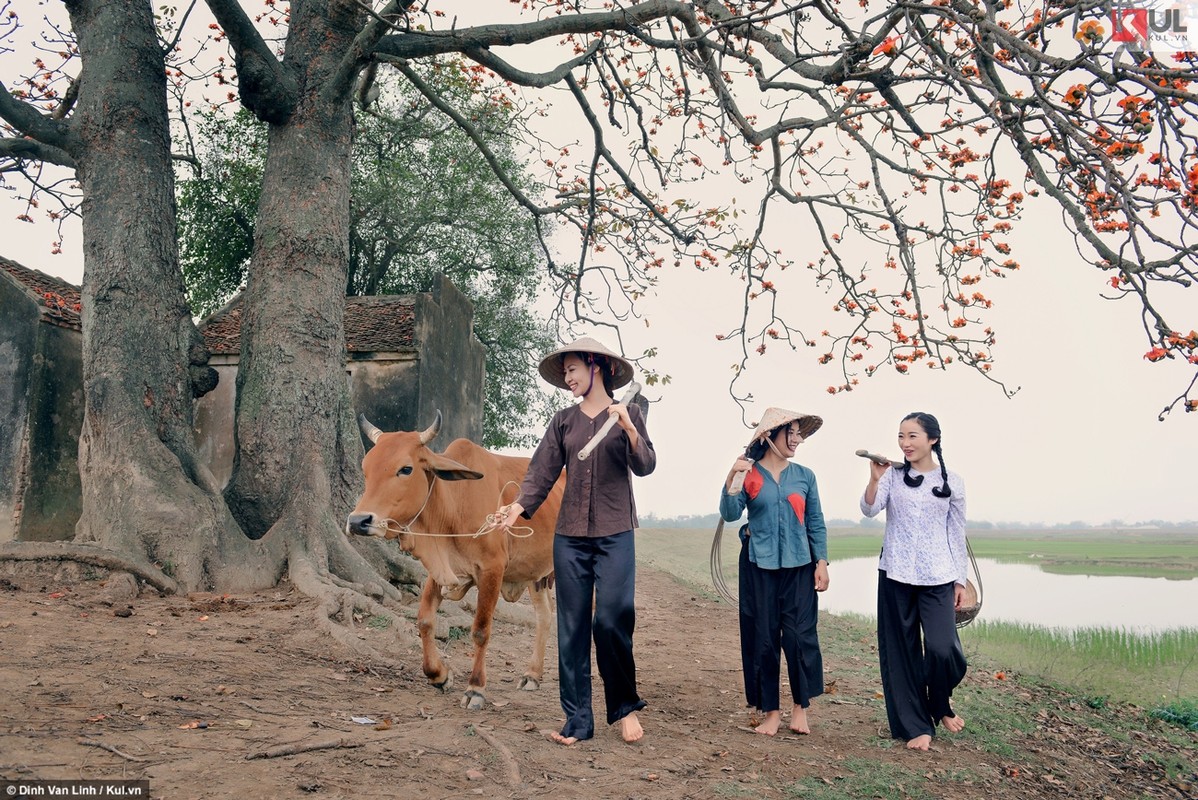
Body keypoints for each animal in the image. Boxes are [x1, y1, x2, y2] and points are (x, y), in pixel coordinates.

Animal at [347, 409, 560, 708]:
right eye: (366, 468)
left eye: (405, 469)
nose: (358, 521)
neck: (454, 504)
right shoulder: (439, 570)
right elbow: (425, 620)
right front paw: (439, 675)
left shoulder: (492, 569)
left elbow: (481, 630)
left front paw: (475, 688)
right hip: (536, 575)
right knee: (544, 615)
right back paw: (532, 675)